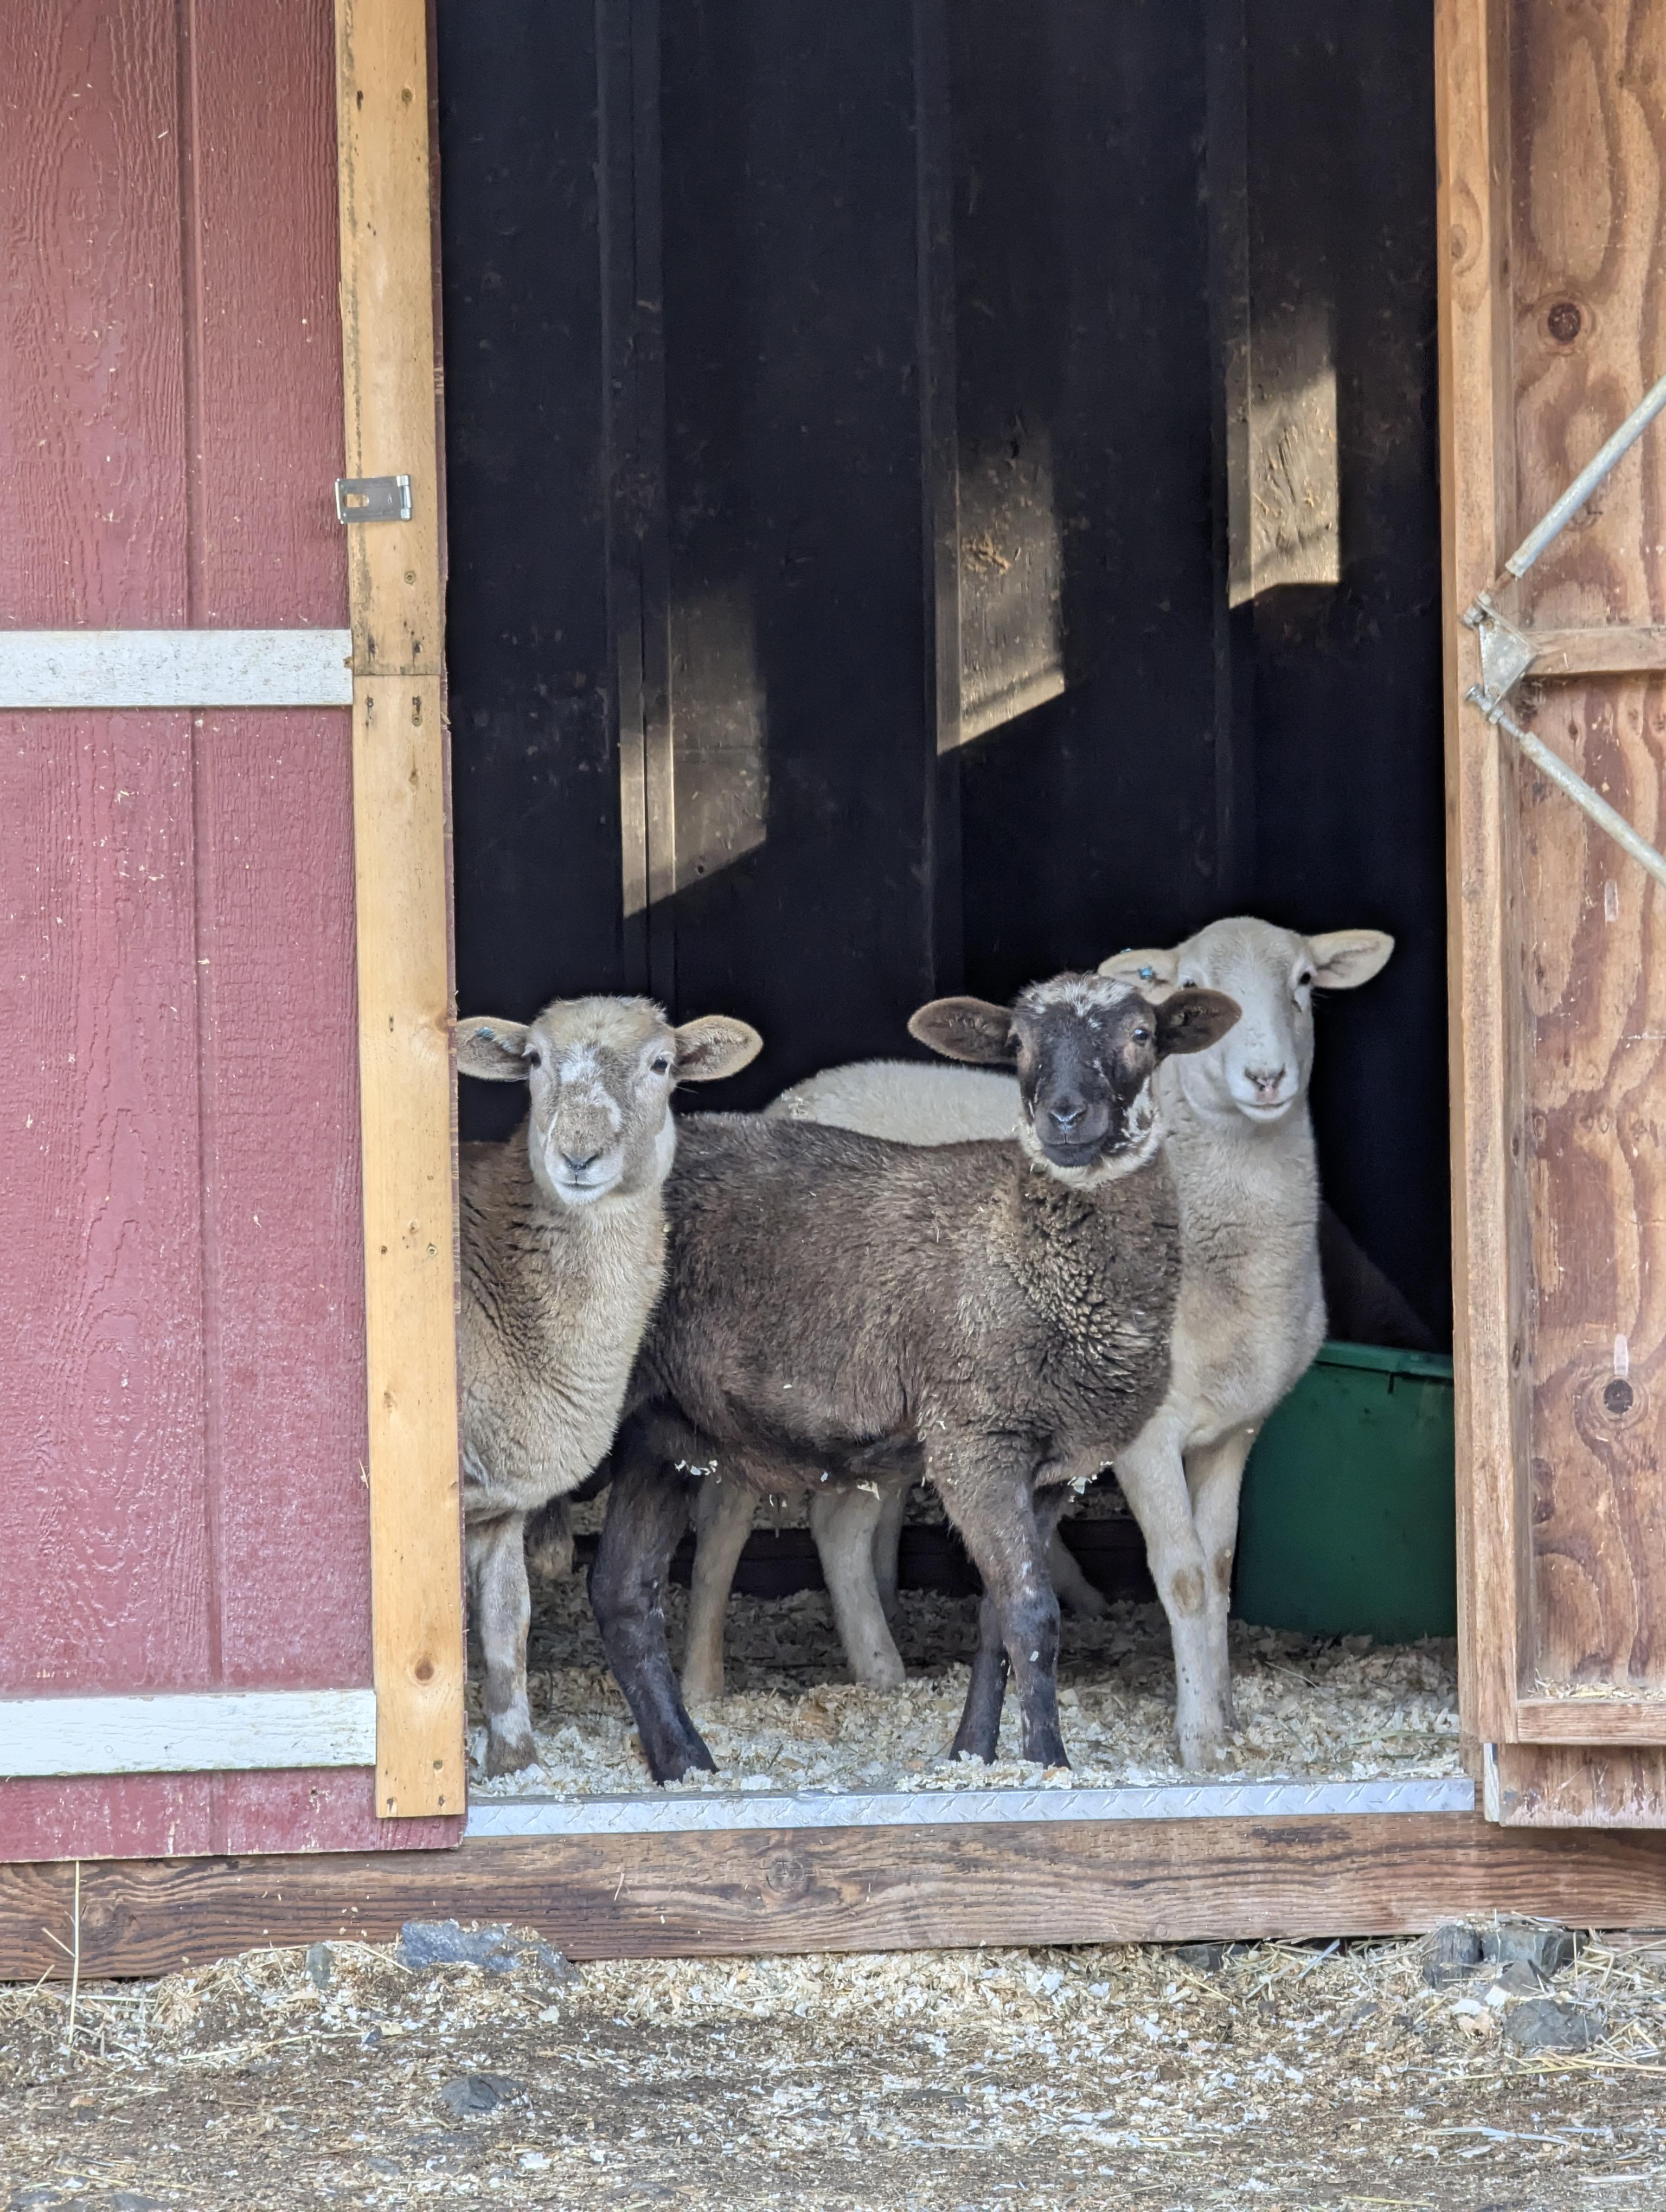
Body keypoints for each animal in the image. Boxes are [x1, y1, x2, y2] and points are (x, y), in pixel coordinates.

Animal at [456, 994, 761, 1773]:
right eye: (535, 1059)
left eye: (661, 1064)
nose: (577, 1156)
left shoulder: (498, 1502)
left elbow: (507, 1628)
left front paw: (516, 1763)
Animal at [588, 972, 1241, 1783]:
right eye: (1018, 1045)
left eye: (1142, 1036)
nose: (1064, 1116)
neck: (1029, 1245)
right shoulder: (976, 1439)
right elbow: (1034, 1613)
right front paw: (1048, 1764)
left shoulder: (1055, 1471)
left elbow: (998, 1617)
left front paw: (974, 1756)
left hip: (660, 1430)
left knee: (622, 1594)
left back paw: (686, 1764)